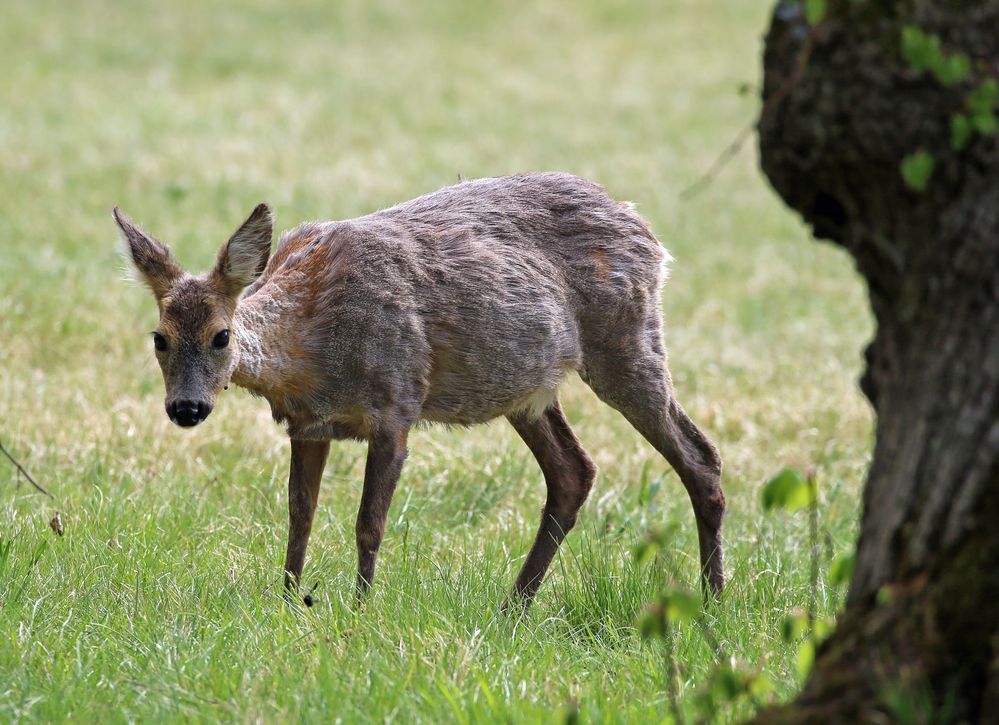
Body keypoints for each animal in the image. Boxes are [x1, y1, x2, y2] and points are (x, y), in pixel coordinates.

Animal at [115, 174, 728, 604]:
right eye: (159, 338)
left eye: (221, 336)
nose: (187, 407)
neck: (310, 343)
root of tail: (648, 234)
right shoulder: (309, 425)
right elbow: (299, 515)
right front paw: (286, 602)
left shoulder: (396, 401)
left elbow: (369, 523)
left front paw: (360, 609)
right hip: (527, 389)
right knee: (574, 471)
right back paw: (514, 607)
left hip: (626, 340)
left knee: (700, 454)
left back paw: (714, 598)